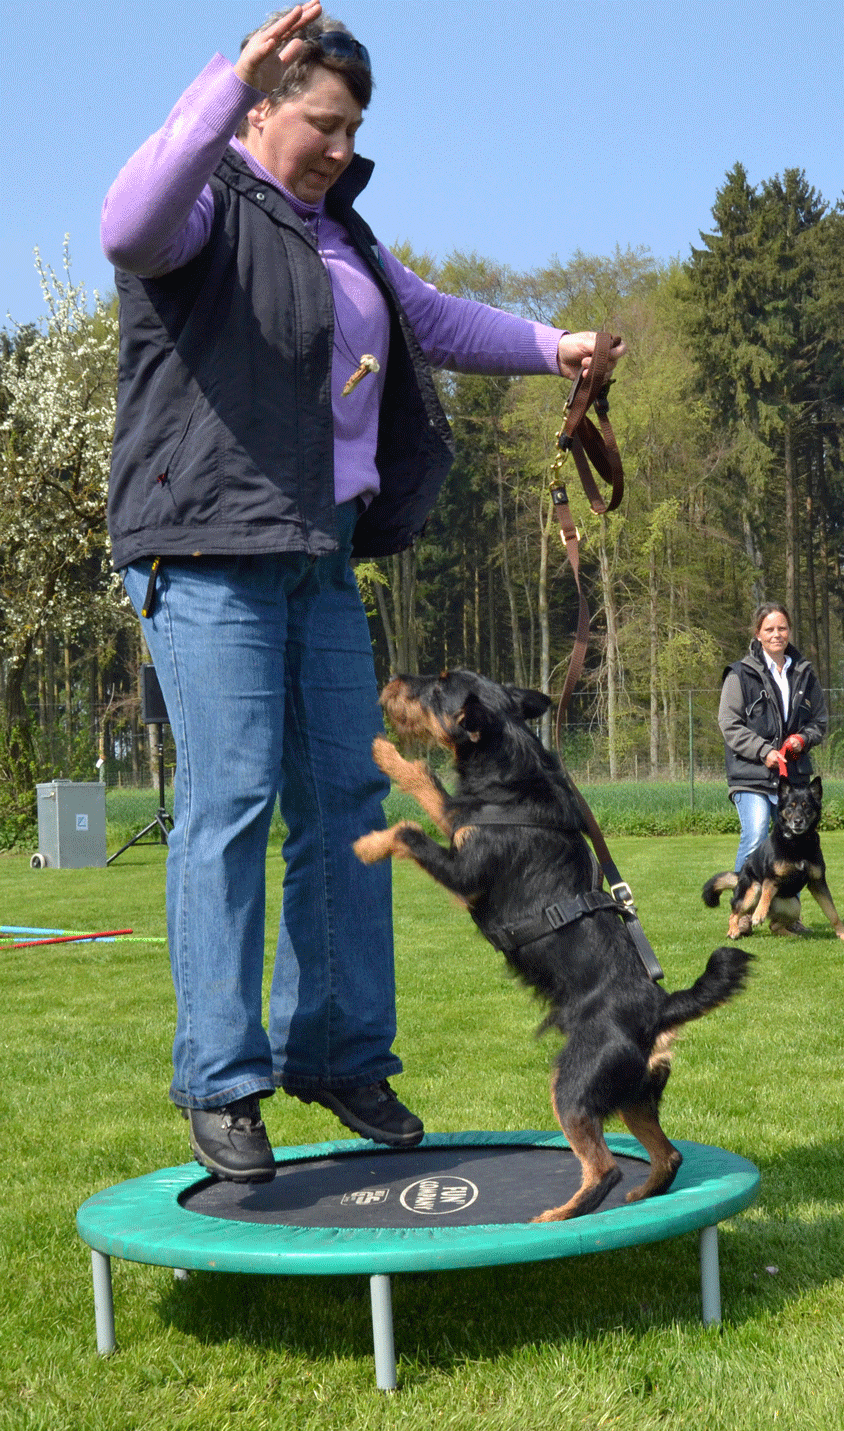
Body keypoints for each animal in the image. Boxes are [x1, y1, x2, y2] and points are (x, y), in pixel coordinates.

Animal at [351, 669, 755, 1219]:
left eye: (436, 687)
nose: (394, 679)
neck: (511, 771)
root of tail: (661, 1009)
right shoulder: (459, 825)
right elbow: (433, 792)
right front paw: (391, 758)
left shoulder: (463, 874)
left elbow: (410, 828)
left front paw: (370, 838)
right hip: (631, 1094)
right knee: (668, 1155)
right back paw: (640, 1197)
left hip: (573, 1086)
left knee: (603, 1167)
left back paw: (558, 1216)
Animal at [700, 772, 844, 938]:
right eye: (790, 807)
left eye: (806, 806)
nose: (798, 821)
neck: (797, 843)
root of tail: (739, 875)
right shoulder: (771, 879)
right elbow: (766, 894)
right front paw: (758, 915)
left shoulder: (818, 883)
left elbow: (832, 912)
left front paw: (841, 933)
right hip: (753, 891)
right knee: (735, 913)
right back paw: (735, 930)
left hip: (795, 907)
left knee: (773, 925)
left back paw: (792, 934)